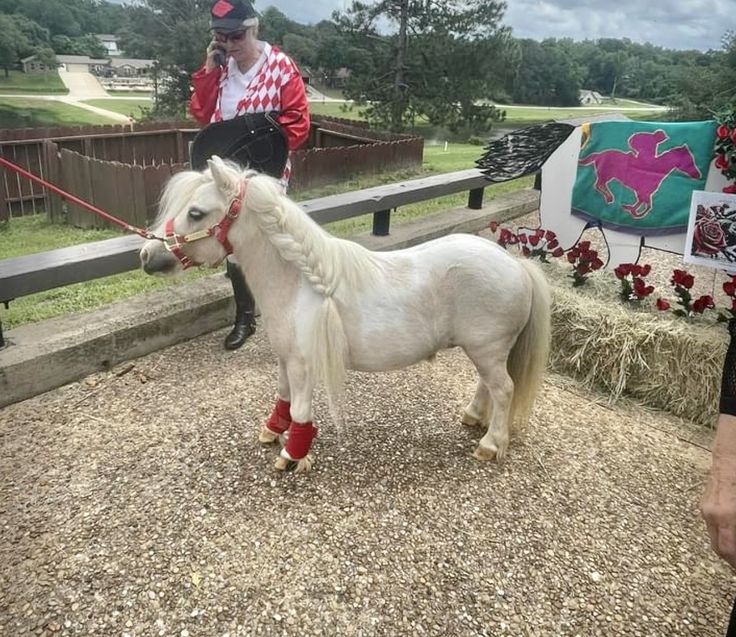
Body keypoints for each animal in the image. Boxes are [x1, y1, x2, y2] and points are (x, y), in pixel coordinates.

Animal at [139, 155, 552, 472]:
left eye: (196, 213)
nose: (147, 257)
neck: (300, 281)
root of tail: (516, 265)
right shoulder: (285, 358)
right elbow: (283, 398)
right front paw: (272, 431)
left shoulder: (303, 364)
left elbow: (301, 408)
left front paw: (293, 456)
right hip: (483, 351)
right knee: (488, 385)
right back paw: (473, 417)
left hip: (488, 349)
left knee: (504, 389)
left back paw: (490, 444)